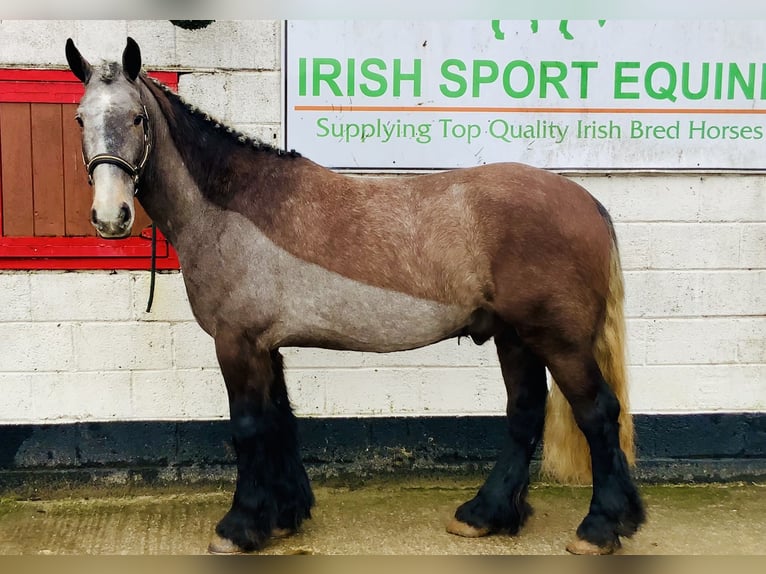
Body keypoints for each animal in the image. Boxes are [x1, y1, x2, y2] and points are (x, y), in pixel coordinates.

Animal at [65, 37, 645, 555]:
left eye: (136, 119)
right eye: (80, 119)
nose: (111, 217)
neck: (229, 206)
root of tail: (586, 201)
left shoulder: (237, 343)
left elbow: (250, 428)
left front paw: (239, 526)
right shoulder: (266, 347)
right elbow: (280, 422)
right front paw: (283, 517)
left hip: (557, 341)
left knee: (598, 414)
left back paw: (599, 528)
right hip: (514, 337)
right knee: (525, 413)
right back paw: (486, 515)